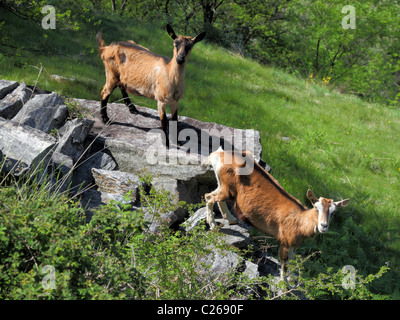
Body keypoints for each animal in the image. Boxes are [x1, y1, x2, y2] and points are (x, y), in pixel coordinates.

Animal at [205, 148, 348, 278]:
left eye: (333, 213)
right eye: (316, 208)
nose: (323, 226)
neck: (300, 219)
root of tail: (219, 154)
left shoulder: (293, 245)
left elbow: (290, 261)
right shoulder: (284, 241)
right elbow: (284, 264)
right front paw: (284, 285)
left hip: (224, 186)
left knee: (218, 198)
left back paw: (230, 219)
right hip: (226, 187)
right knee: (209, 197)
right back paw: (213, 225)